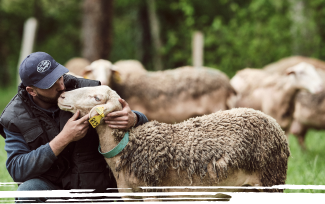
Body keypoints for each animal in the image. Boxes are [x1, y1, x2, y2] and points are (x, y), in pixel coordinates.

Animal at [57, 85, 288, 202]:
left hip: (271, 178)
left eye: (97, 98)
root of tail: (275, 124)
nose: (61, 95)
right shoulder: (130, 197)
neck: (128, 146)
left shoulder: (152, 192)